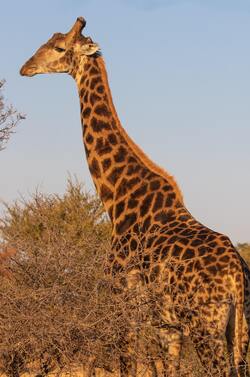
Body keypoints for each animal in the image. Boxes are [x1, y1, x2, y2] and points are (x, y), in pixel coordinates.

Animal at [20, 18, 250, 376]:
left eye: (59, 48)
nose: (25, 68)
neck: (117, 199)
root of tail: (237, 277)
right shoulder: (166, 324)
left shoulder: (121, 299)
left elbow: (126, 361)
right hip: (240, 330)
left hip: (206, 327)